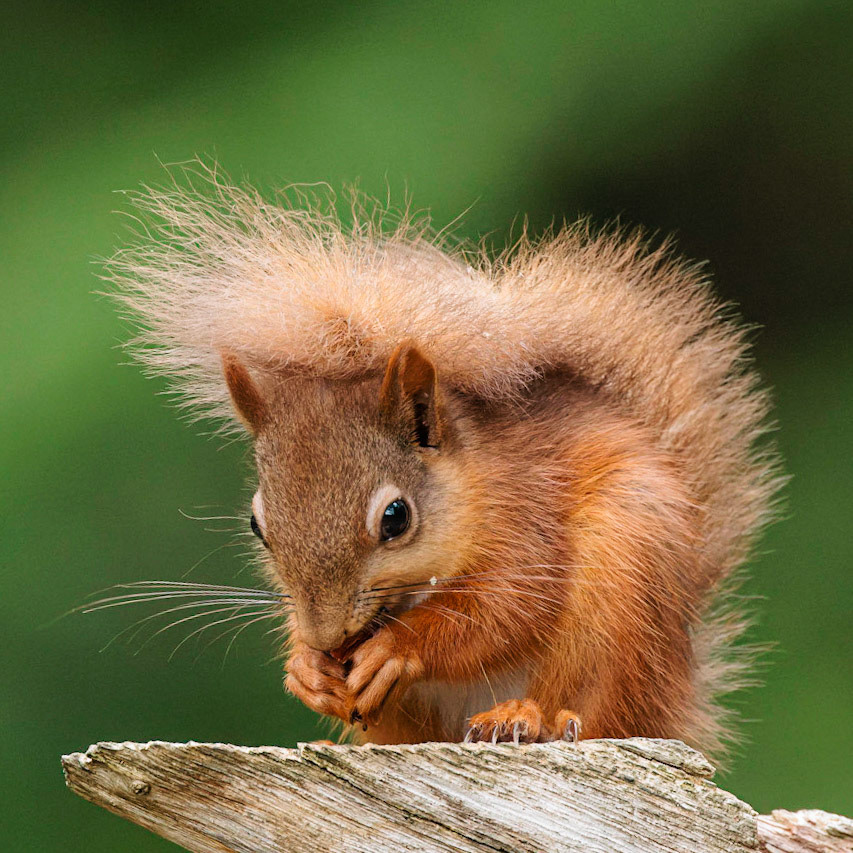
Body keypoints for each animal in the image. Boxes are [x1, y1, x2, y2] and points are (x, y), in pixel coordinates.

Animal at [108, 167, 780, 757]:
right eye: (257, 526)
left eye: (396, 518)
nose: (328, 637)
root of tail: (676, 696)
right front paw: (306, 668)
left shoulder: (527, 515)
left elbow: (502, 612)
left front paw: (395, 648)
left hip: (623, 589)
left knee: (595, 709)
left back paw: (528, 719)